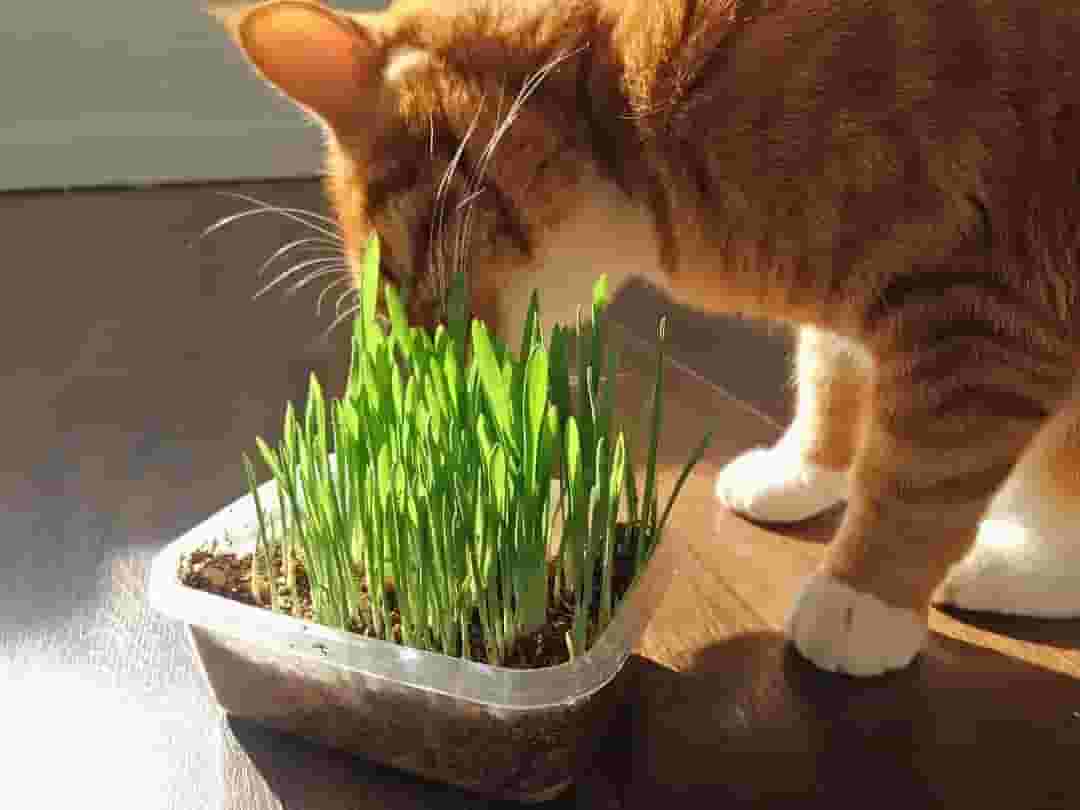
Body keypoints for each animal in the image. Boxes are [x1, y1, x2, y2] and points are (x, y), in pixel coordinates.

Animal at [217, 0, 1080, 676]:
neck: (628, 107)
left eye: (391, 274)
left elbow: (920, 476)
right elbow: (830, 375)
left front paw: (862, 598)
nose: (420, 371)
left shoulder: (982, 312)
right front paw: (802, 473)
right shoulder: (881, 308)